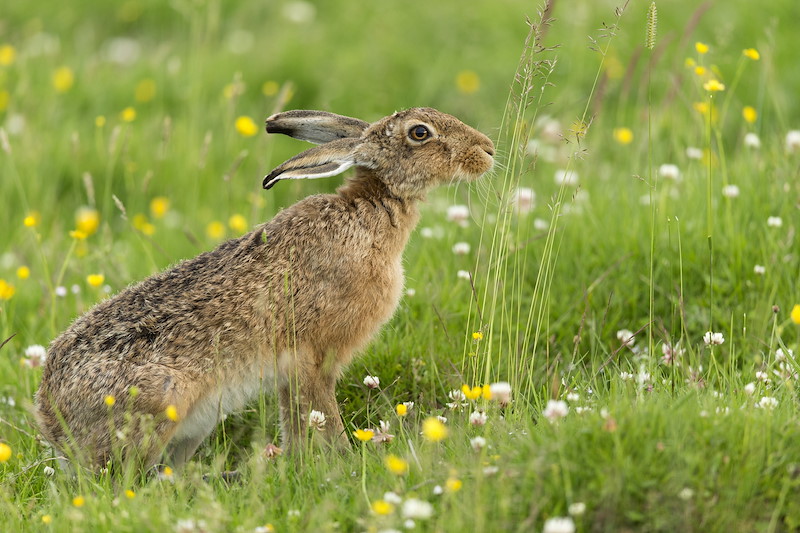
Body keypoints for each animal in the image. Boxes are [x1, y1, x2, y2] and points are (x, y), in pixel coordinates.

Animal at [34, 107, 495, 470]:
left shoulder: (292, 372)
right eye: (420, 133)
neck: (369, 208)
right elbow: (323, 416)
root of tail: (51, 421)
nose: (488, 149)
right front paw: (342, 461)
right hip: (160, 403)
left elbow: (296, 423)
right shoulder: (315, 358)